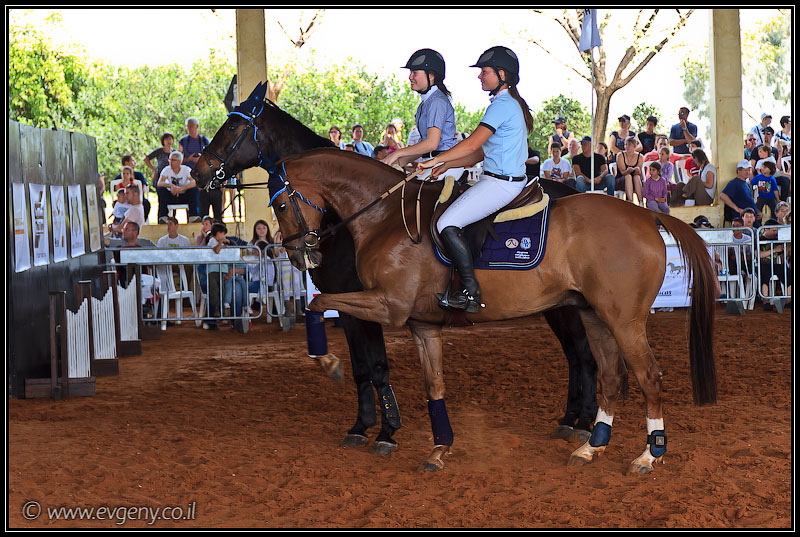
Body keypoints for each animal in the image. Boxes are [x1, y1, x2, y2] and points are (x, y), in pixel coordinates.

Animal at [190, 85, 598, 449]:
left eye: (232, 126)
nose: (198, 172)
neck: (367, 215)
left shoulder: (368, 301)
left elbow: (375, 365)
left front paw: (384, 430)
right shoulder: (350, 301)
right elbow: (361, 366)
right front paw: (363, 425)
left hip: (567, 307)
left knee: (584, 356)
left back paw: (585, 424)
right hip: (559, 305)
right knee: (577, 356)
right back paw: (572, 419)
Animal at [257, 147, 718, 474]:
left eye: (278, 205)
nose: (297, 254)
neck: (386, 217)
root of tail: (644, 215)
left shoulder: (388, 305)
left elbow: (317, 303)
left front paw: (328, 361)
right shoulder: (422, 325)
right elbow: (434, 386)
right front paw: (440, 448)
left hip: (624, 320)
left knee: (648, 376)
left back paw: (649, 455)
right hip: (593, 315)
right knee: (611, 375)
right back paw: (592, 446)